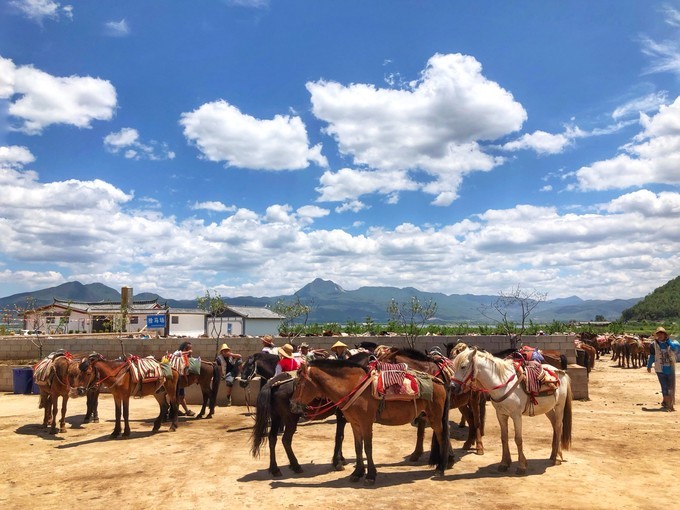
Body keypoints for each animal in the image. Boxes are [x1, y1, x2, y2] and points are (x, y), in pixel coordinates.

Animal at [292, 358, 452, 486]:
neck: (353, 386)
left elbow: (368, 448)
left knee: (442, 437)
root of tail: (440, 382)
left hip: (435, 418)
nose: (292, 405)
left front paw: (370, 475)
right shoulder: (355, 424)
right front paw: (357, 473)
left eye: (299, 383)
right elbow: (358, 447)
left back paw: (441, 468)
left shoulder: (366, 423)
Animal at [452, 346, 572, 474]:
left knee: (558, 427)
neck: (503, 384)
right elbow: (504, 438)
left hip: (559, 406)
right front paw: (504, 463)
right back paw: (554, 454)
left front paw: (522, 466)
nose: (452, 387)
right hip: (547, 409)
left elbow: (518, 439)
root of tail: (560, 372)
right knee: (554, 425)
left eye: (463, 366)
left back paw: (557, 458)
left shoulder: (516, 415)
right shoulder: (501, 414)